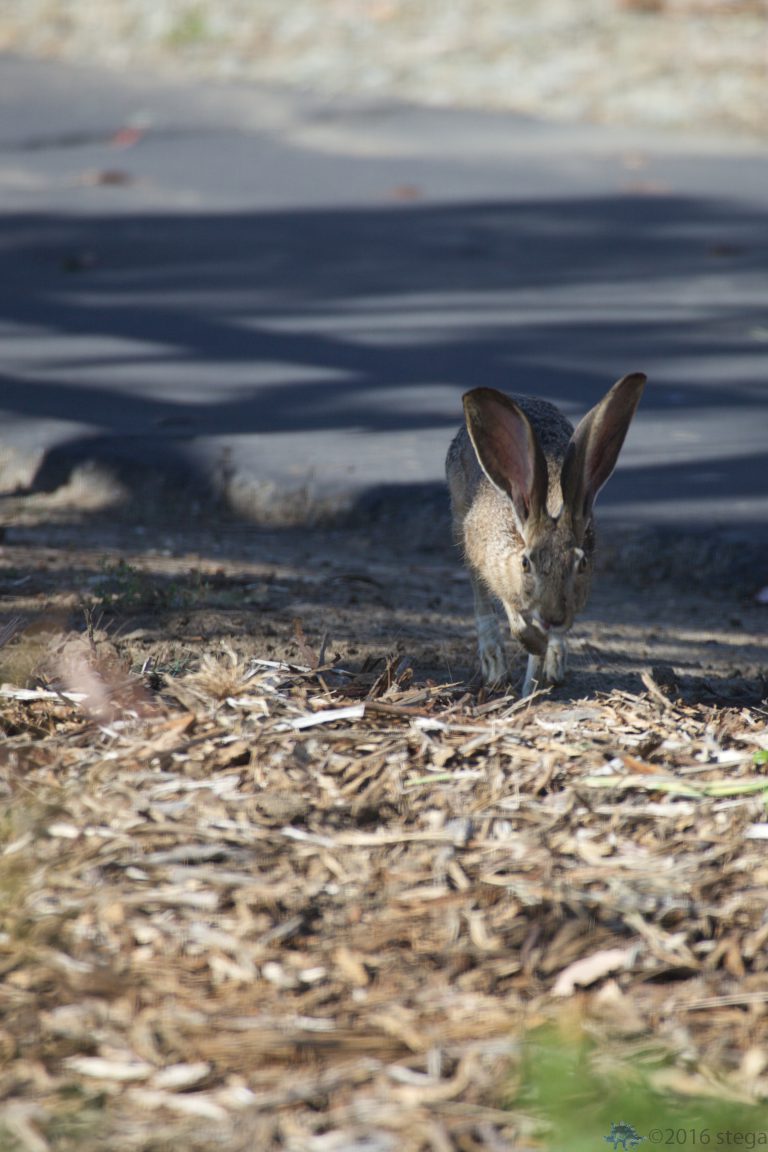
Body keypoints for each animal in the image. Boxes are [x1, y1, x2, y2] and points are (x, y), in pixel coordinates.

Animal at [446, 373, 646, 696]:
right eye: (526, 563)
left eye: (582, 564)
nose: (553, 616)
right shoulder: (498, 568)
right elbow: (515, 619)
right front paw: (533, 651)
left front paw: (536, 682)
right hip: (461, 520)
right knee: (480, 595)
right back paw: (496, 666)